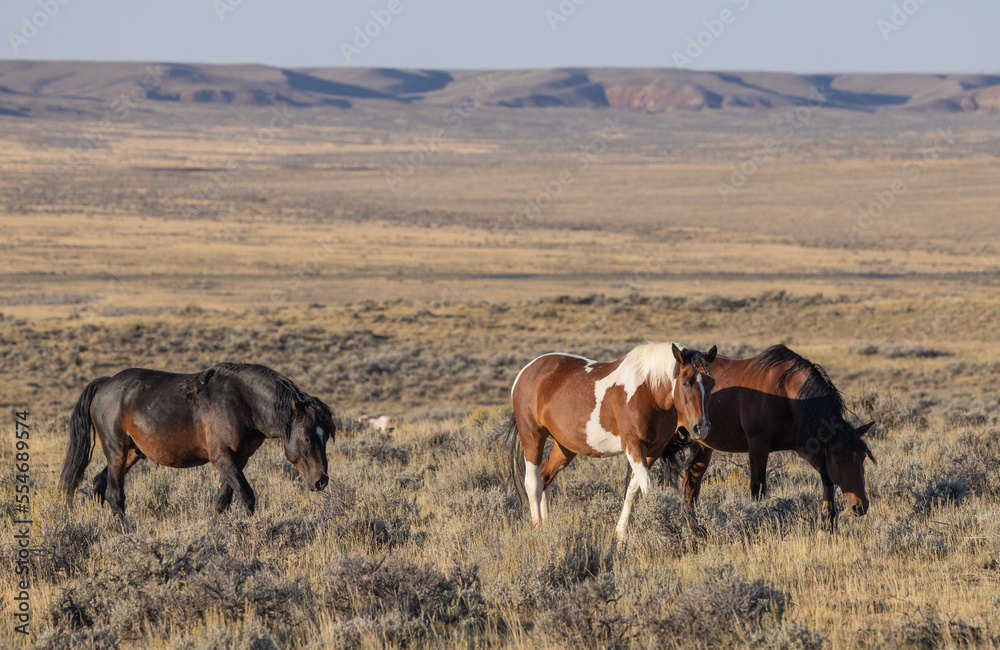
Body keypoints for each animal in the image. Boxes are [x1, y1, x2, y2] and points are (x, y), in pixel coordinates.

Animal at [59, 362, 335, 516]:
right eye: (307, 438)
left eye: (326, 437)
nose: (321, 481)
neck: (243, 402)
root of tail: (105, 384)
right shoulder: (222, 457)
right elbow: (246, 496)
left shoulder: (239, 459)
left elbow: (223, 501)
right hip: (117, 451)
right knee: (115, 496)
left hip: (131, 453)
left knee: (99, 485)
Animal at [503, 342, 717, 542]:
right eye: (686, 383)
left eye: (712, 383)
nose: (702, 427)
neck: (648, 391)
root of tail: (526, 371)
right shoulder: (633, 446)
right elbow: (648, 489)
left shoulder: (653, 451)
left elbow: (633, 490)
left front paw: (621, 534)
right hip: (533, 436)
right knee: (532, 483)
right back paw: (537, 528)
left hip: (564, 446)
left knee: (546, 477)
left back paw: (547, 528)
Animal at [627, 344, 875, 528]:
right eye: (840, 460)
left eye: (862, 459)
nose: (861, 506)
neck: (786, 393)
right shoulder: (758, 446)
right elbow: (758, 488)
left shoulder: (808, 446)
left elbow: (827, 479)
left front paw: (828, 523)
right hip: (654, 446)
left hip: (702, 447)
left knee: (690, 489)